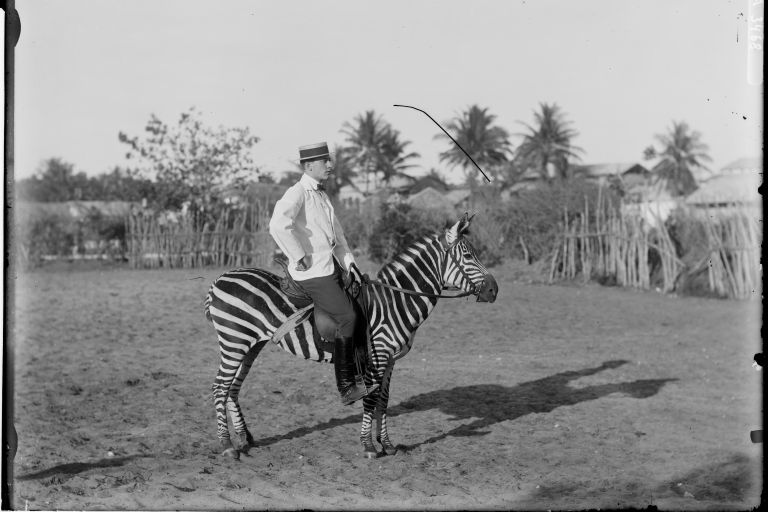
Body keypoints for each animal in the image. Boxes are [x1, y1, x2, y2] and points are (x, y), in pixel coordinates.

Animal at [204, 212, 498, 460]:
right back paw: (228, 445)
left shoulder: (391, 360)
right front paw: (368, 446)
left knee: (233, 388)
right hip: (234, 342)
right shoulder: (378, 356)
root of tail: (220, 279)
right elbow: (370, 398)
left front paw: (387, 445)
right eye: (468, 256)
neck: (394, 302)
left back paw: (245, 438)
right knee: (220, 387)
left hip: (251, 345)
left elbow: (383, 400)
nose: (494, 290)